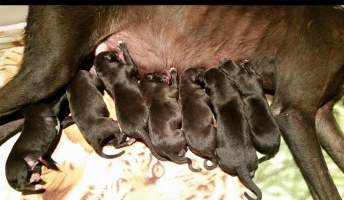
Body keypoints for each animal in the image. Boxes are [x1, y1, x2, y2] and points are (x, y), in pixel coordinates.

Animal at [204, 67, 260, 200]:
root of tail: (241, 165)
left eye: (205, 76)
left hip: (220, 154)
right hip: (253, 155)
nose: (207, 69)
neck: (222, 86)